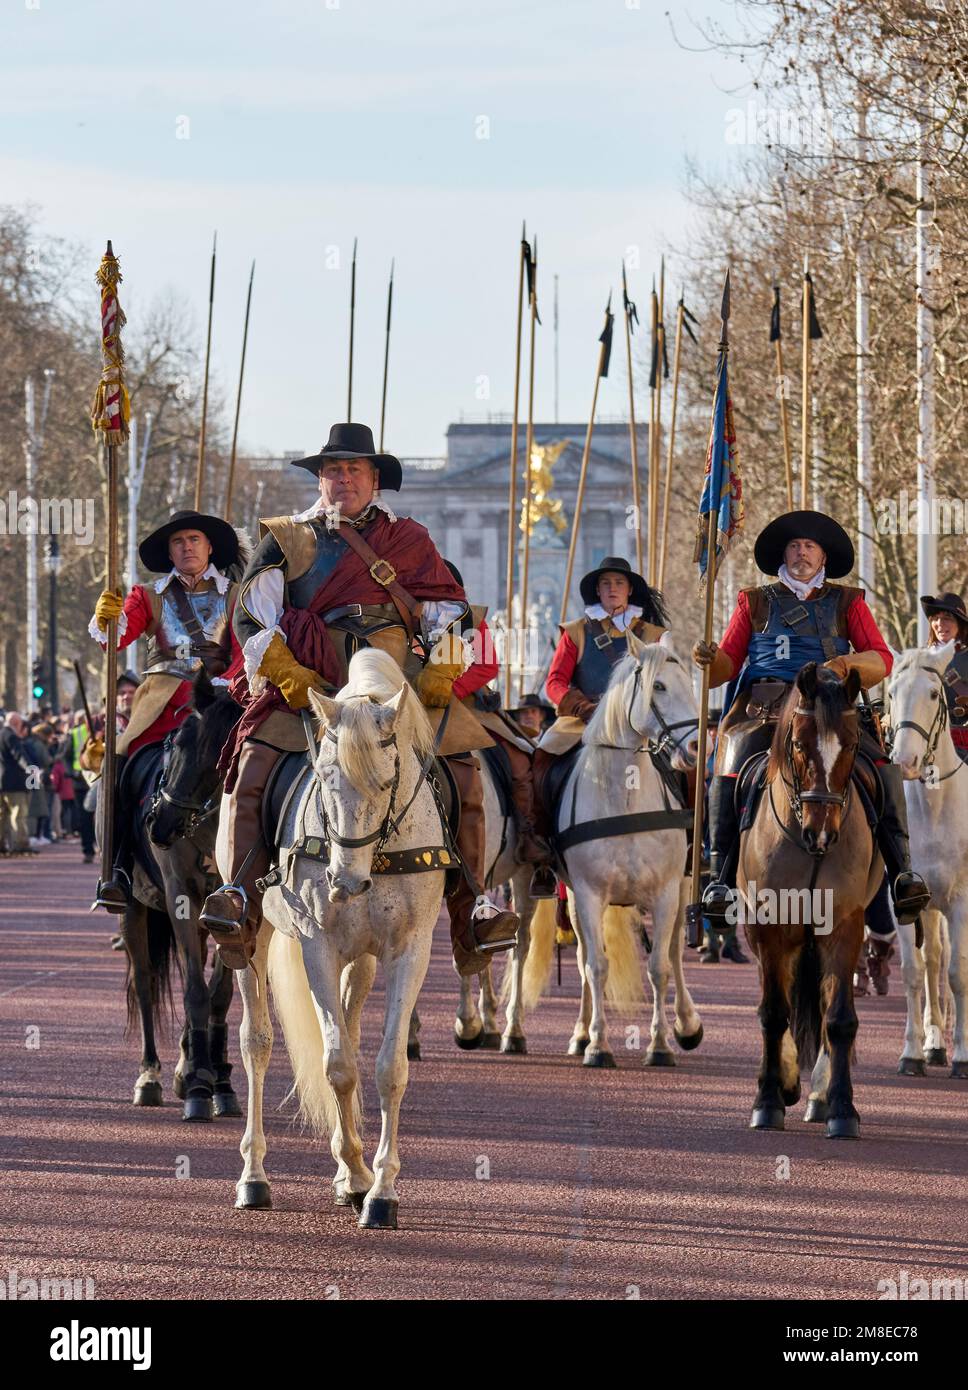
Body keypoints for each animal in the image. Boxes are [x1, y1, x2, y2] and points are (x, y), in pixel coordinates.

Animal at [119, 667, 246, 1123]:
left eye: (220, 753)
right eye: (174, 744)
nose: (158, 822)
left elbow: (218, 994)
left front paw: (218, 1081)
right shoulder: (182, 900)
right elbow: (193, 990)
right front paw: (198, 1086)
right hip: (133, 907)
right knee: (144, 981)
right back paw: (150, 1076)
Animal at [228, 650, 447, 1228]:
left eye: (388, 779)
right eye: (324, 776)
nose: (344, 883)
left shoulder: (410, 949)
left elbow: (387, 1067)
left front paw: (379, 1189)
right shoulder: (318, 946)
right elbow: (339, 1066)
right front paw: (355, 1170)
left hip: (362, 959)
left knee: (346, 1024)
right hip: (252, 941)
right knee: (257, 1043)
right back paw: (254, 1176)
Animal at [528, 636, 703, 1067]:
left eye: (691, 683)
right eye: (659, 686)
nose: (695, 746)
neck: (625, 799)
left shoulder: (666, 893)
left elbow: (659, 967)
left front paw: (660, 1044)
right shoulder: (589, 895)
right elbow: (595, 966)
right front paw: (597, 1043)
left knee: (675, 952)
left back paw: (687, 1023)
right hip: (574, 900)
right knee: (583, 959)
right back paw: (580, 1034)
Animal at [739, 664, 878, 1139]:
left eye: (851, 744)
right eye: (799, 744)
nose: (822, 832)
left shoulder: (844, 925)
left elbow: (838, 1019)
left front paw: (842, 1109)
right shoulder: (769, 929)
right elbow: (772, 1013)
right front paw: (767, 1101)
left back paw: (817, 1095)